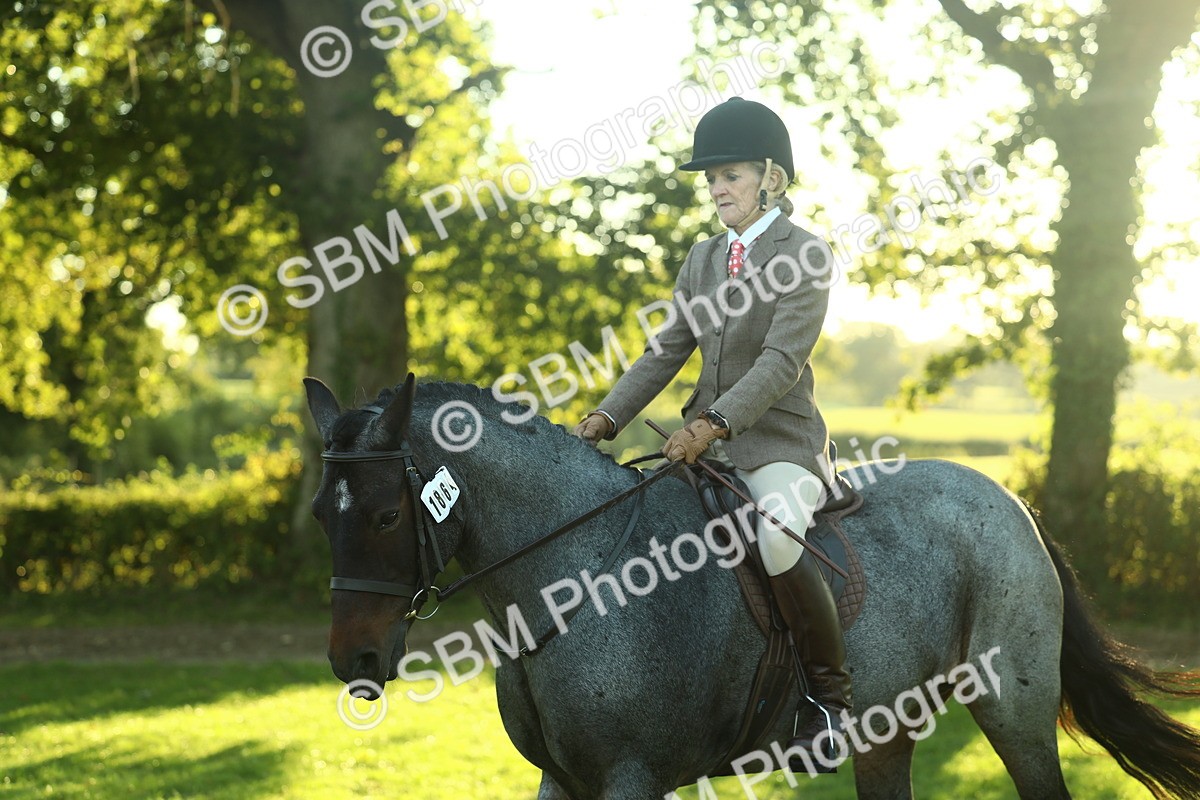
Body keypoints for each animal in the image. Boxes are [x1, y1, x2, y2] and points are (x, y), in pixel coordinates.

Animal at [304, 374, 1200, 799]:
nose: (354, 660)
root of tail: (1011, 501)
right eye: (320, 512)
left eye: (385, 515)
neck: (571, 577)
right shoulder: (564, 780)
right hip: (888, 729)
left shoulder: (632, 776)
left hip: (1012, 709)